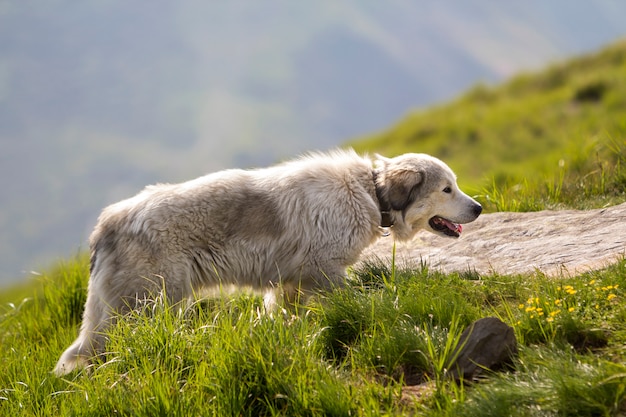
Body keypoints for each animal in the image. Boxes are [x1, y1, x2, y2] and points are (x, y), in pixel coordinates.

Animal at [54, 149, 482, 374]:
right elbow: (355, 302)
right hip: (148, 306)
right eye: (447, 189)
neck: (369, 193)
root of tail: (109, 222)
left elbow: (284, 318)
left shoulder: (290, 285)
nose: (479, 208)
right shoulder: (325, 272)